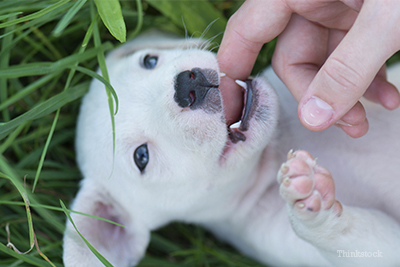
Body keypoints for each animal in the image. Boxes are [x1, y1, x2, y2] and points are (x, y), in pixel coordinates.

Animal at [62, 31, 400, 267]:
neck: (275, 150)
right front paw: (310, 200)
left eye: (149, 60)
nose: (187, 86)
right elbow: (361, 238)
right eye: (141, 157)